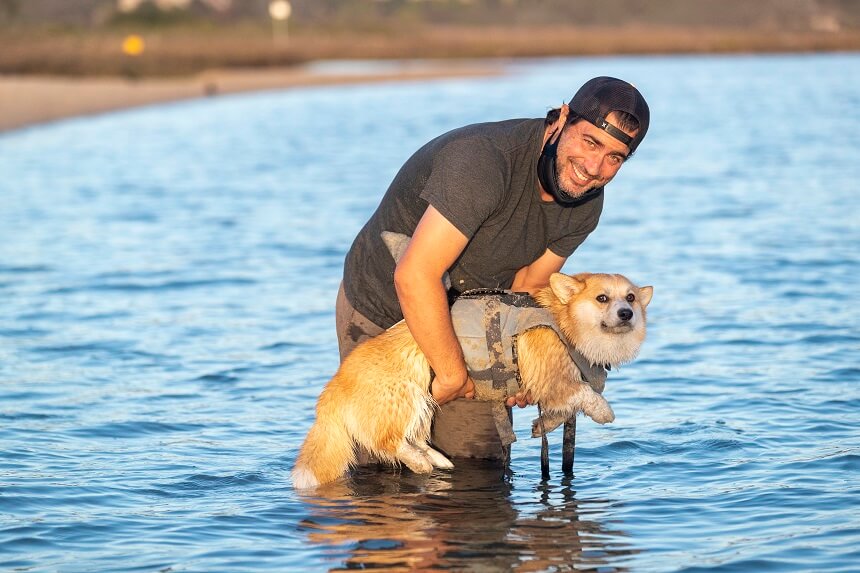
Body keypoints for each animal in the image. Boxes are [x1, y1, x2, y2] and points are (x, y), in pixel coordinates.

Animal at [292, 272, 656, 488]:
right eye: (602, 298)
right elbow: (585, 397)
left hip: (424, 405)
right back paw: (422, 463)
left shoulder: (551, 387)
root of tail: (331, 391)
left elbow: (564, 410)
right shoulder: (554, 378)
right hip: (407, 394)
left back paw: (436, 459)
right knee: (390, 441)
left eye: (630, 298)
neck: (562, 320)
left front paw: (543, 425)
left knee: (415, 438)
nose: (627, 314)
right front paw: (604, 412)